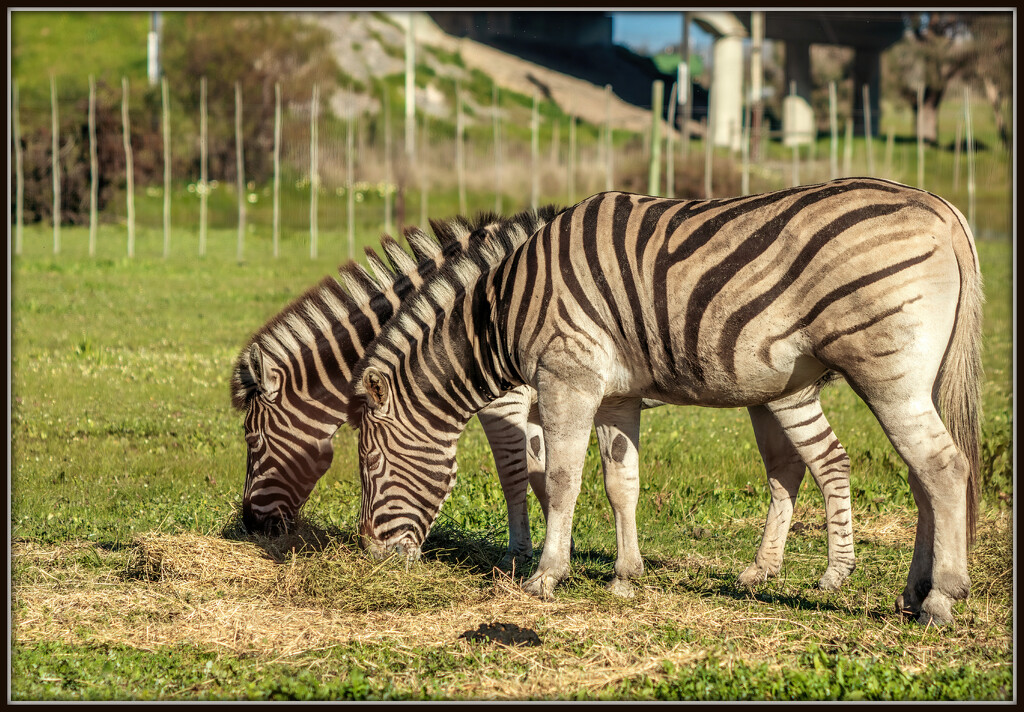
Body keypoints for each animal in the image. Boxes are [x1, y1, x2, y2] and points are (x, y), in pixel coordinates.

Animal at [354, 178, 983, 622]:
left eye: (371, 465)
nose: (371, 559)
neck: (503, 310)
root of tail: (943, 210)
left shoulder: (565, 380)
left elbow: (558, 478)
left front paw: (544, 575)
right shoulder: (616, 395)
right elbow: (620, 483)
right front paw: (624, 576)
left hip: (885, 371)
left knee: (943, 468)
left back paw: (940, 600)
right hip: (903, 379)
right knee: (918, 476)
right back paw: (911, 593)